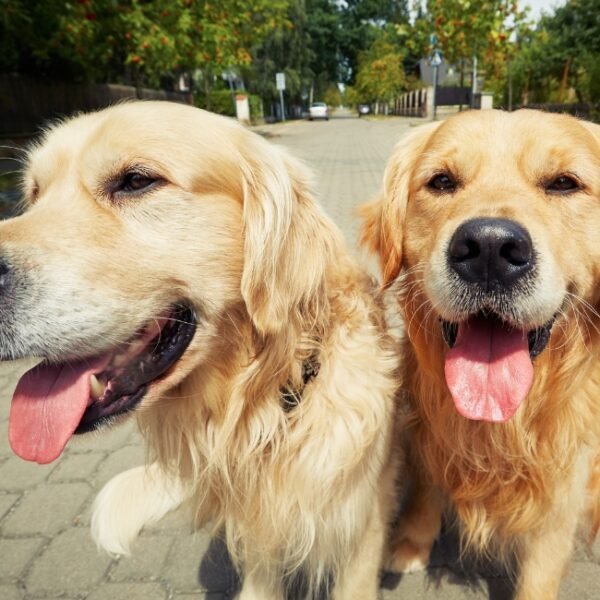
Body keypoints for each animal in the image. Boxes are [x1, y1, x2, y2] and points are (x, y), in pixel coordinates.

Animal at [358, 109, 600, 600]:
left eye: (563, 183)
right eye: (441, 181)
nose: (489, 248)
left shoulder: (563, 487)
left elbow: (540, 571)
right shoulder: (428, 428)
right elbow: (428, 485)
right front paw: (412, 540)